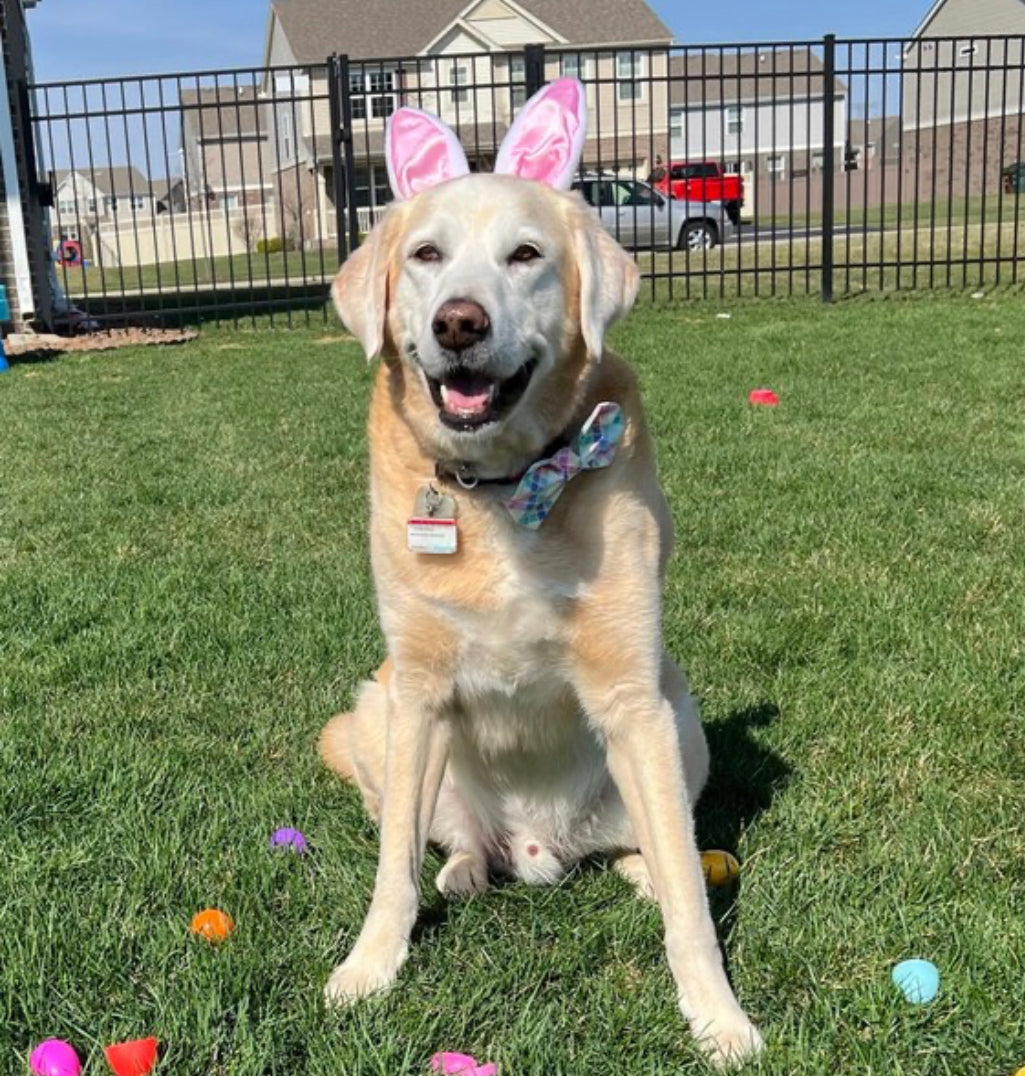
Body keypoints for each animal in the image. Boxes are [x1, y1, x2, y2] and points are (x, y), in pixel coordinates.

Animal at [320, 79, 761, 1063]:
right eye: (425, 255)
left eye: (525, 255)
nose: (458, 321)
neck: (498, 490)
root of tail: (536, 849)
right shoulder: (416, 689)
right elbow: (390, 868)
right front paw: (371, 967)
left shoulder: (634, 697)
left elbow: (689, 900)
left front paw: (716, 1013)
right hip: (373, 712)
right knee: (433, 841)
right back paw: (461, 870)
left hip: (680, 722)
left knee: (660, 848)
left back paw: (638, 870)